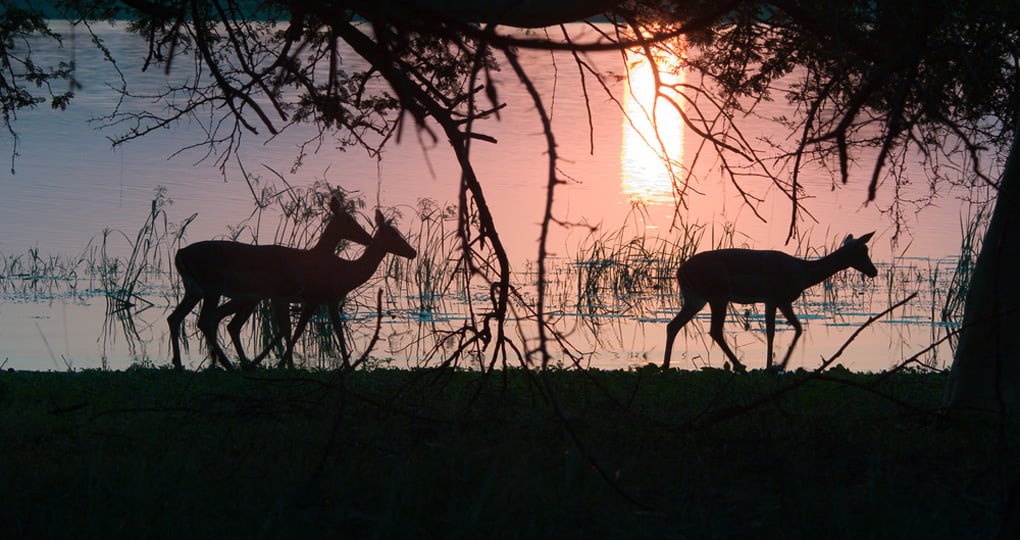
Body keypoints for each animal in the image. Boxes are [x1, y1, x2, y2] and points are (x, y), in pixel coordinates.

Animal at [167, 196, 373, 370]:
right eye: (348, 219)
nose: (369, 238)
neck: (305, 260)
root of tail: (179, 254)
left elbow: (288, 328)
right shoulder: (280, 294)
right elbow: (287, 328)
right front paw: (288, 366)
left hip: (196, 290)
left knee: (177, 318)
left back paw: (181, 364)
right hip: (213, 288)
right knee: (206, 320)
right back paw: (230, 365)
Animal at [214, 209, 417, 369]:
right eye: (394, 234)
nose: (413, 252)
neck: (348, 273)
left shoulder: (314, 300)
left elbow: (298, 330)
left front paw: (278, 363)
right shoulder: (330, 299)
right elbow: (337, 332)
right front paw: (347, 366)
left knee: (226, 320)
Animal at [662, 232, 878, 372]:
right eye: (863, 250)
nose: (873, 271)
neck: (804, 273)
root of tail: (680, 271)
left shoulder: (772, 301)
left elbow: (778, 330)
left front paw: (773, 365)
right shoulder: (779, 297)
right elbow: (790, 328)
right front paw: (778, 365)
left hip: (695, 298)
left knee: (673, 325)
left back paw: (665, 366)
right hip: (718, 294)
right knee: (714, 330)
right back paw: (739, 365)